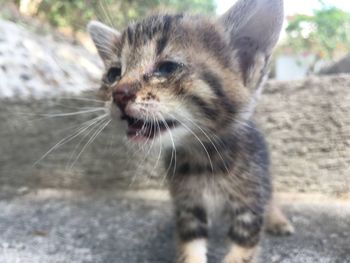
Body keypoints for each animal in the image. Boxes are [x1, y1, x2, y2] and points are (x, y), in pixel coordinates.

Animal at [87, 1, 292, 262]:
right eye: (114, 74)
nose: (118, 94)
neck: (204, 159)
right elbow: (191, 245)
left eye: (166, 68)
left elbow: (244, 245)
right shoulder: (188, 206)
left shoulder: (250, 202)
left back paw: (278, 220)